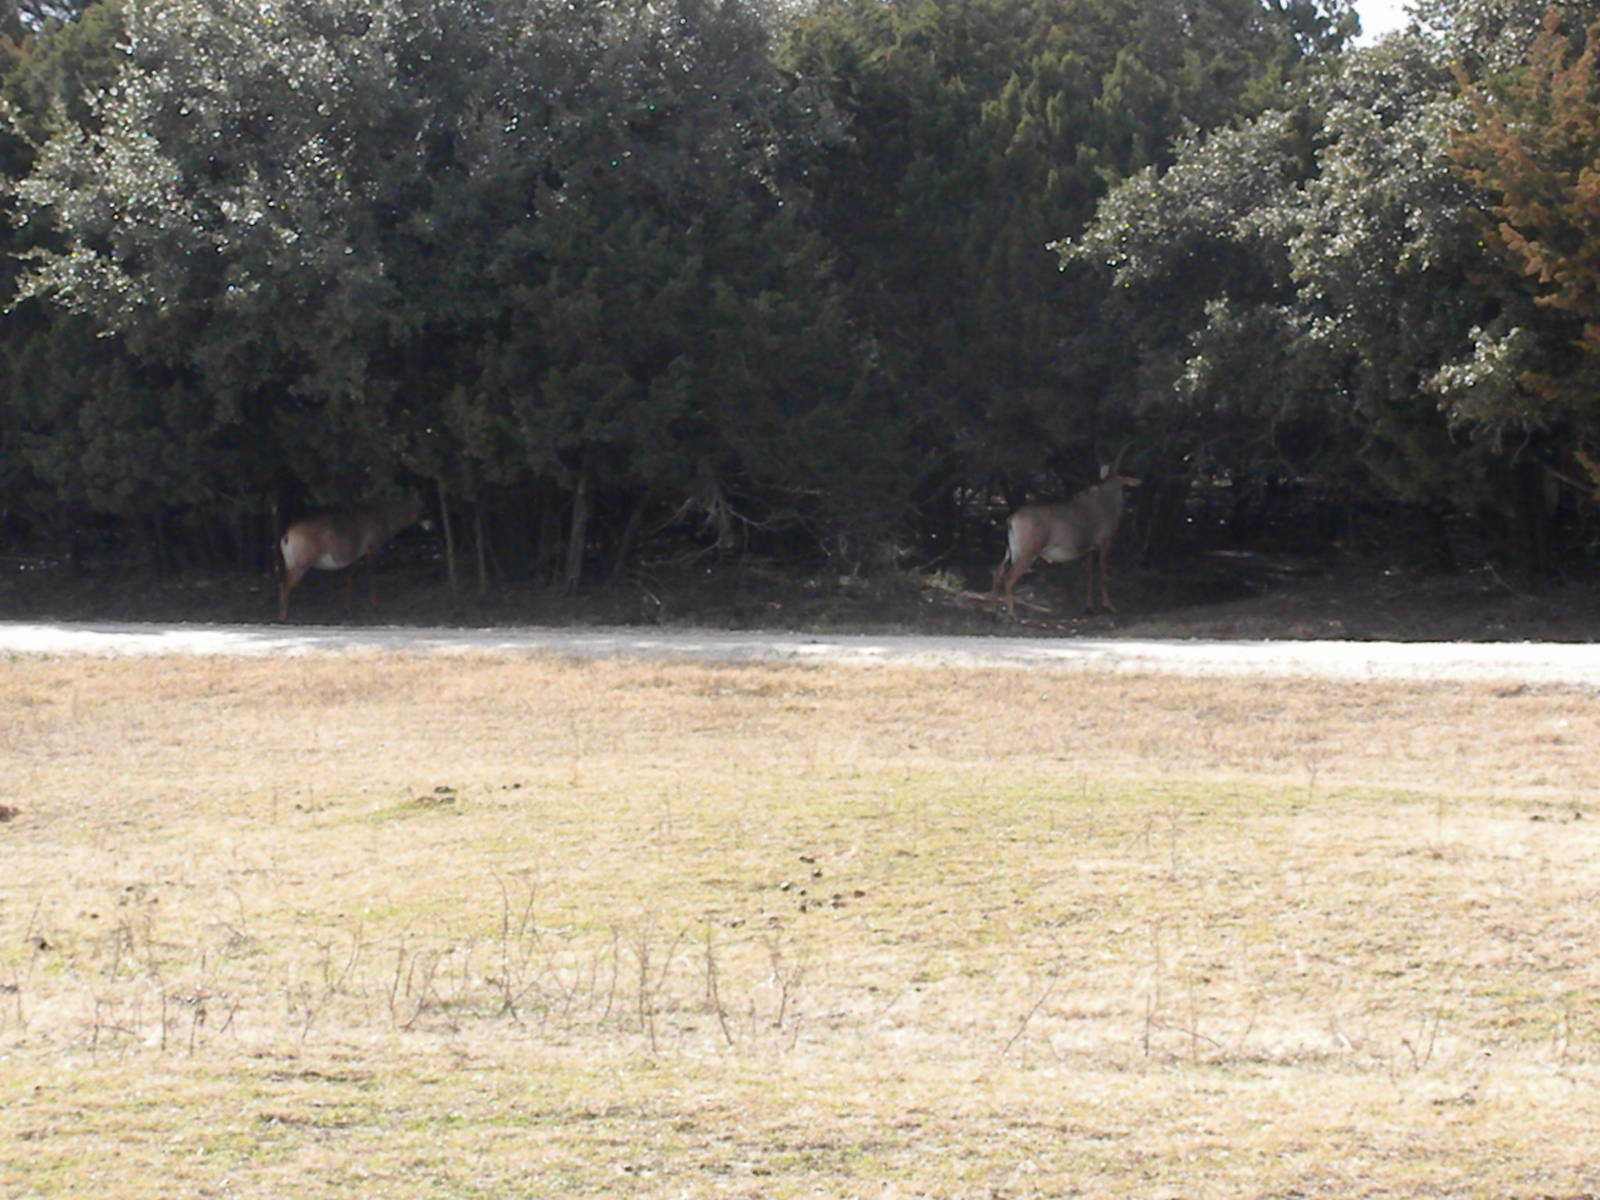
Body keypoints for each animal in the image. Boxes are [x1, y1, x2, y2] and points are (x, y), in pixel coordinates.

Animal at [277, 493, 425, 621]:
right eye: (423, 506)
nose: (428, 524)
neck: (385, 518)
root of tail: (286, 536)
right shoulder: (371, 549)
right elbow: (371, 576)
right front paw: (374, 604)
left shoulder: (355, 558)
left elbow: (350, 579)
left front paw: (348, 610)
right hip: (300, 565)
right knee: (284, 585)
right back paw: (284, 617)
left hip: (290, 564)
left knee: (282, 582)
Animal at [989, 465, 1141, 616]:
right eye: (1124, 475)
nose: (1138, 481)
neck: (1106, 502)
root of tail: (1011, 519)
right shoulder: (1105, 543)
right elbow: (1103, 575)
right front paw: (1108, 606)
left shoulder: (1089, 550)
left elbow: (1089, 576)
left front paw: (1089, 607)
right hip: (1027, 554)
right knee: (1009, 578)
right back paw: (1011, 614)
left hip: (1011, 551)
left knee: (998, 571)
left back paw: (994, 610)